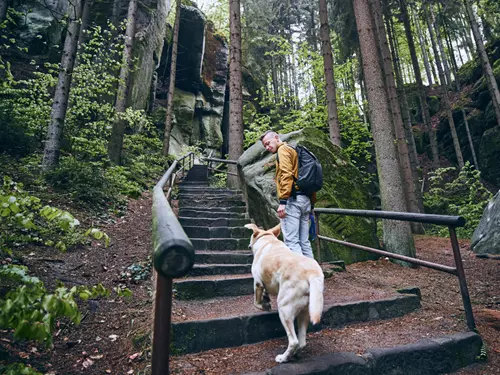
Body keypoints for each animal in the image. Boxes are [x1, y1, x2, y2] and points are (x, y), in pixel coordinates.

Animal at [245, 225, 324, 362]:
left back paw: (283, 358)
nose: (248, 245)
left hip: (284, 308)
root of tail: (312, 273)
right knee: (302, 342)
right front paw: (266, 299)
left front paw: (264, 305)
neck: (268, 239)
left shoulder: (257, 282)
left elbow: (256, 302)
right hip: (305, 312)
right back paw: (295, 354)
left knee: (294, 341)